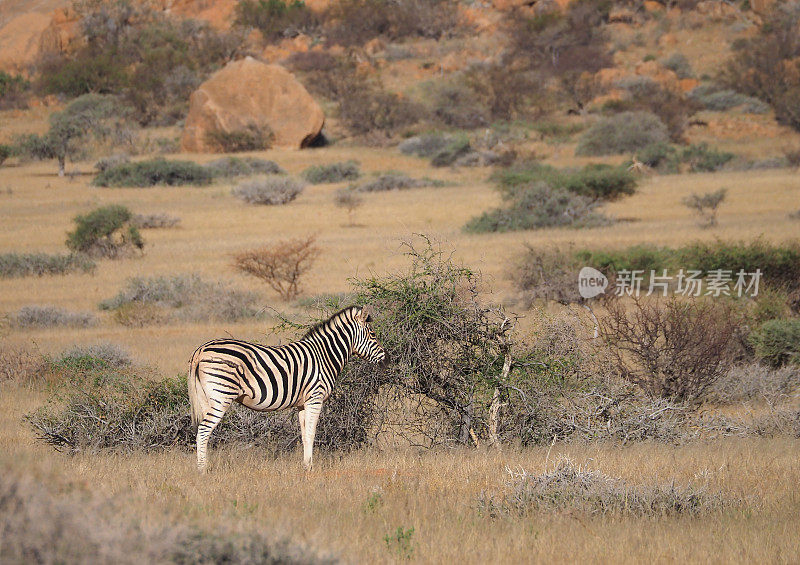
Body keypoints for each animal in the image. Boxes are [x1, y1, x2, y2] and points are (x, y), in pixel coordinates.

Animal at [189, 304, 386, 472]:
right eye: (373, 334)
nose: (388, 360)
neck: (324, 355)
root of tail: (201, 350)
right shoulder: (315, 397)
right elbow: (312, 433)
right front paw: (311, 468)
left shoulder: (302, 403)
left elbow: (304, 435)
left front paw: (306, 466)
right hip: (222, 395)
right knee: (204, 430)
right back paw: (202, 470)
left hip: (206, 398)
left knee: (202, 431)